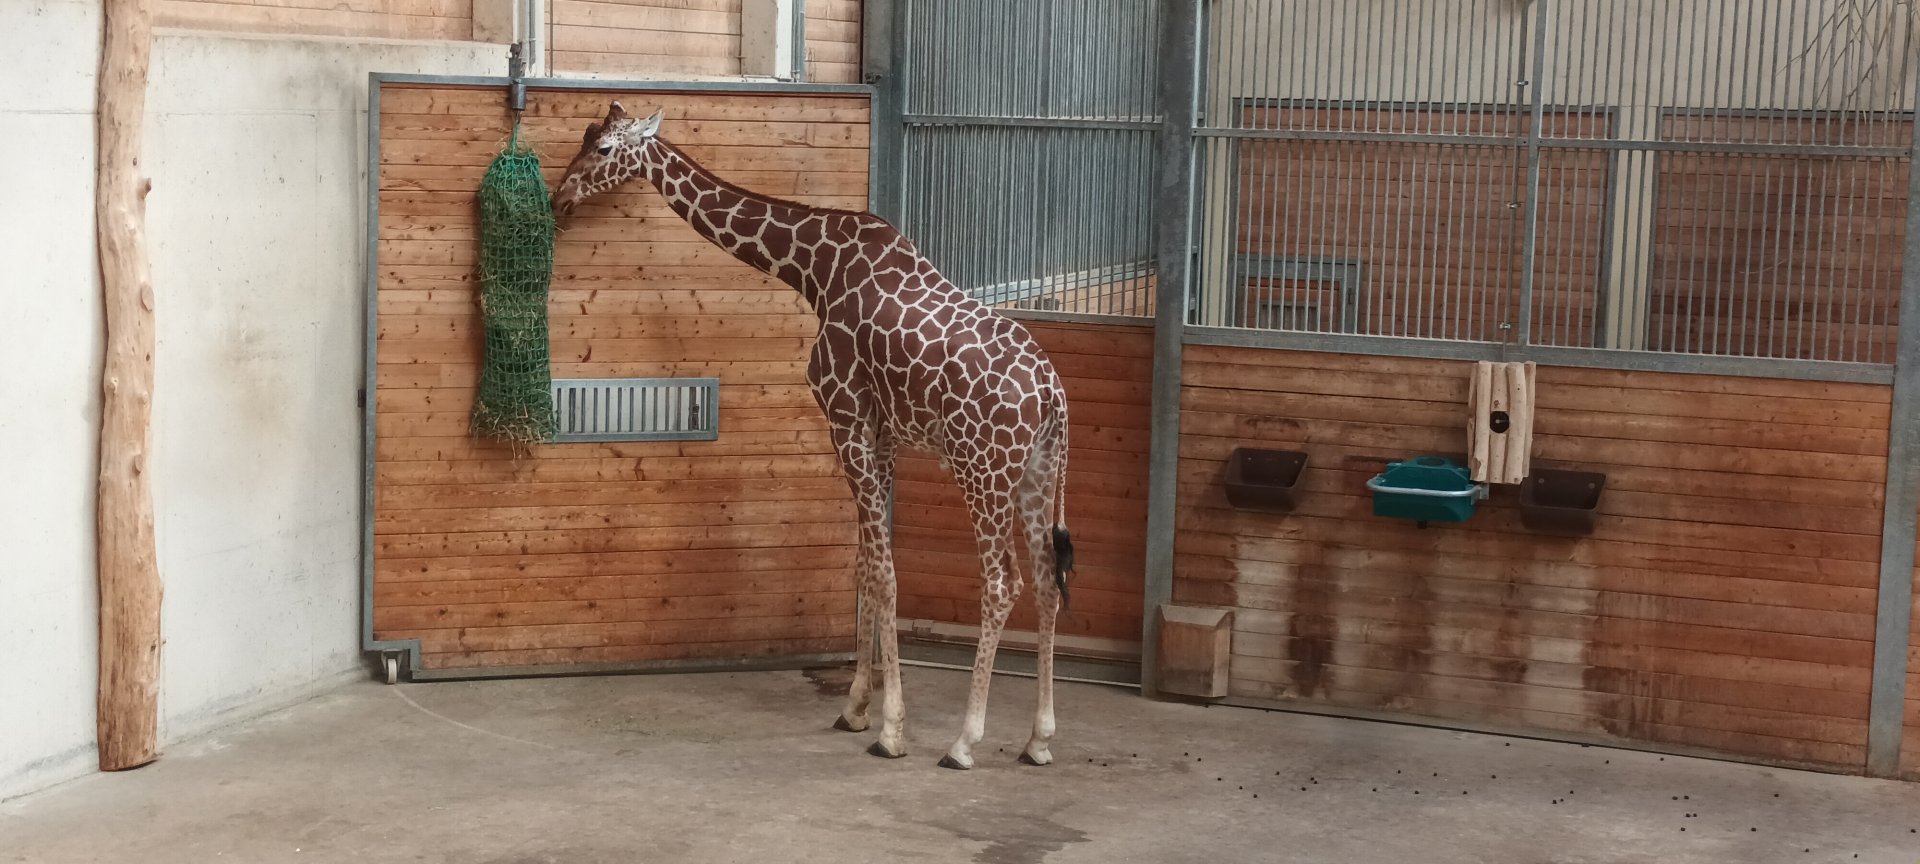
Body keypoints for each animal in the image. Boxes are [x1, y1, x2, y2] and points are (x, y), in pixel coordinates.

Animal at [552, 102, 1075, 770]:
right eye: (585, 137)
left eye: (602, 150)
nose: (560, 198)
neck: (815, 269)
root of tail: (1051, 394)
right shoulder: (882, 433)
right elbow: (865, 564)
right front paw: (855, 708)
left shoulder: (844, 415)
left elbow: (882, 570)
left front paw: (891, 729)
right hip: (1037, 470)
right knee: (1047, 578)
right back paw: (1039, 739)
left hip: (982, 467)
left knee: (1003, 581)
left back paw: (964, 742)